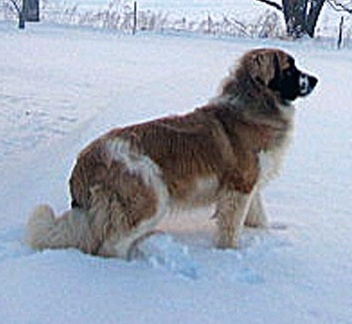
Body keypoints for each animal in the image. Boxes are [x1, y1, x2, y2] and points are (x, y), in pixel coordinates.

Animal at [26, 48, 320, 260]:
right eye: (289, 68)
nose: (316, 80)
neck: (255, 102)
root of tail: (84, 161)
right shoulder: (238, 189)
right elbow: (231, 228)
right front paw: (231, 254)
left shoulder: (251, 185)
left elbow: (258, 216)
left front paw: (267, 232)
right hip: (151, 199)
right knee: (111, 246)